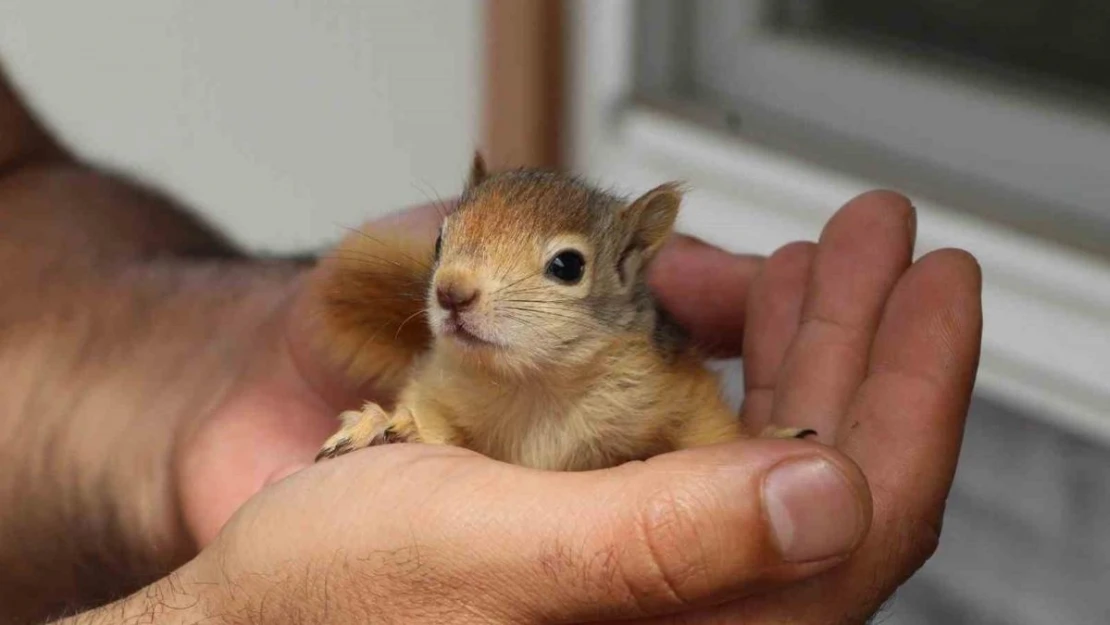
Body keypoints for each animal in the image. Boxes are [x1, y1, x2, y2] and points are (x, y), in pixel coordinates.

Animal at [313, 155, 816, 470]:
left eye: (569, 265)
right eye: (439, 240)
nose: (452, 292)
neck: (536, 382)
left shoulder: (680, 391)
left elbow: (713, 434)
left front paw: (769, 438)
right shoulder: (438, 391)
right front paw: (382, 426)